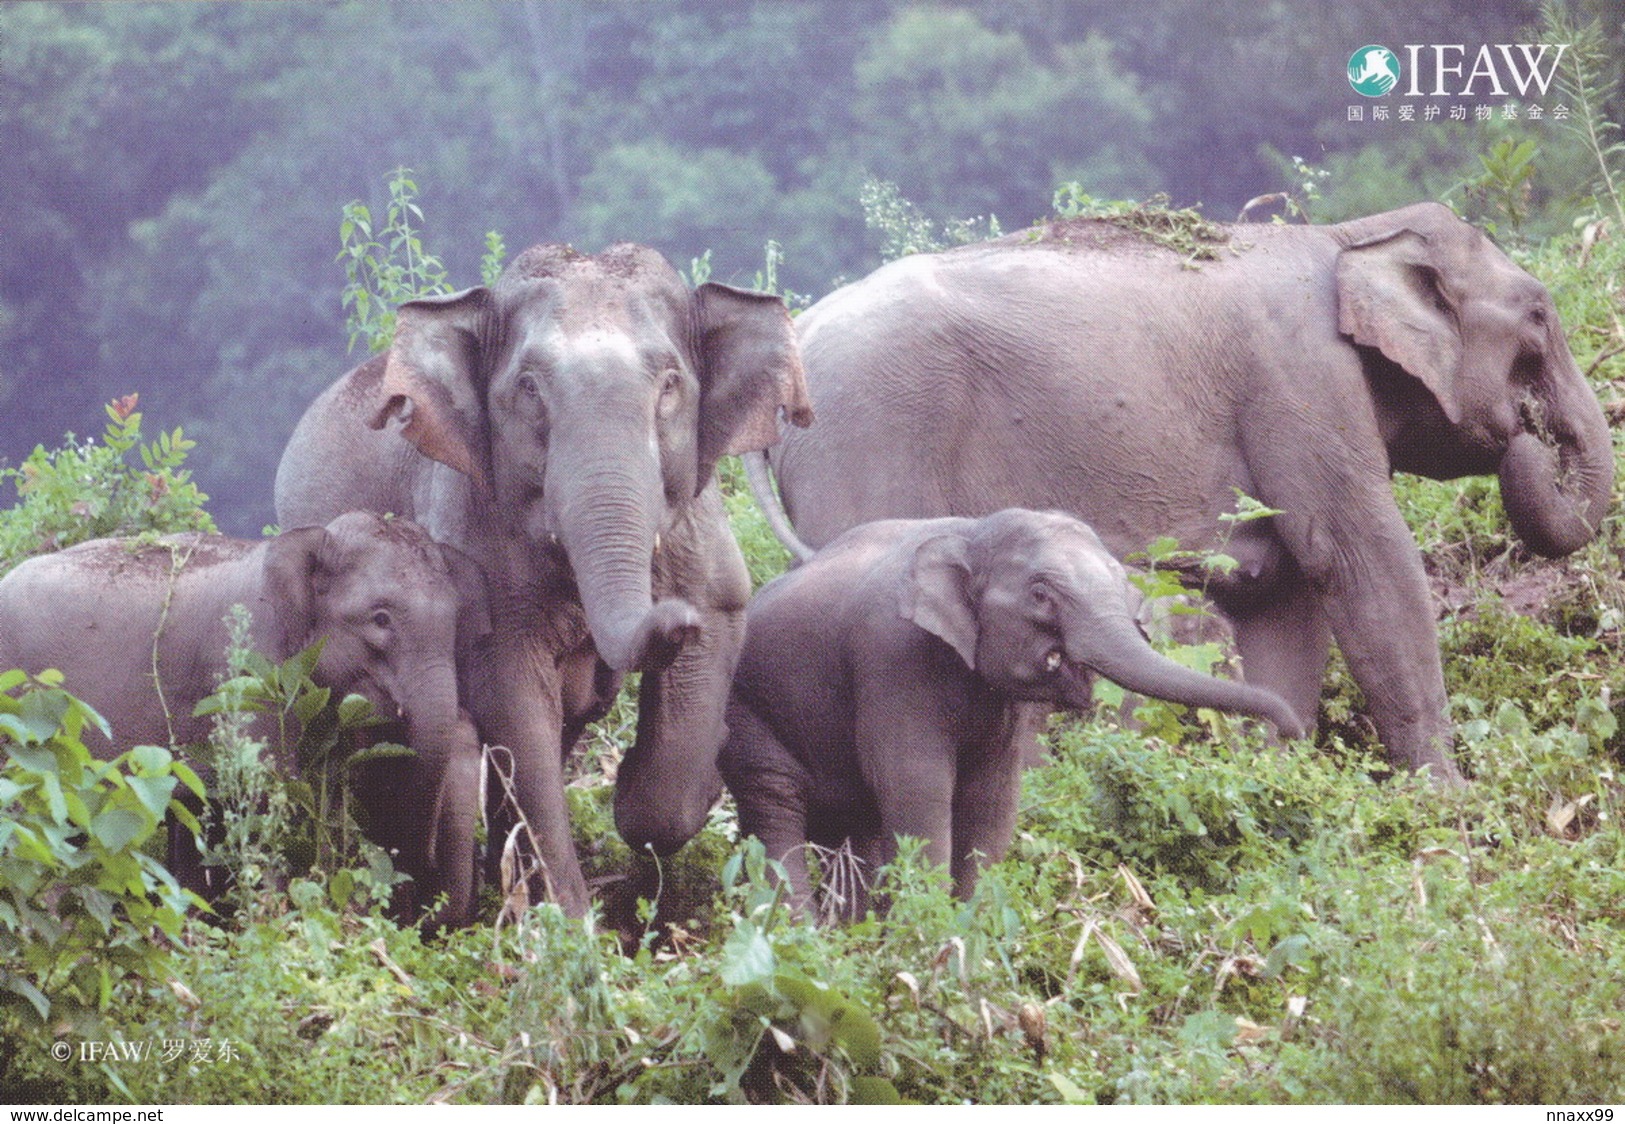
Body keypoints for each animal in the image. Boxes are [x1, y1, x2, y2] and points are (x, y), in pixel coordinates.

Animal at [282, 242, 812, 916]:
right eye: (528, 388)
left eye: (670, 384)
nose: (670, 617)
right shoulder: (475, 519)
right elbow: (517, 713)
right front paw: (571, 924)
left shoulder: (701, 525)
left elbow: (715, 620)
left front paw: (664, 778)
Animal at [718, 503, 1300, 916]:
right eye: (1040, 593)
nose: (1294, 730)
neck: (972, 530)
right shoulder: (890, 657)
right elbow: (917, 785)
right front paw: (930, 933)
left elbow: (994, 794)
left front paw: (966, 924)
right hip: (744, 714)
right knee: (774, 810)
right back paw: (802, 937)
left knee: (851, 825)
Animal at [754, 202, 1618, 782]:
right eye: (1538, 315)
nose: (1527, 433)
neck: (1347, 236)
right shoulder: (1301, 386)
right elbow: (1359, 562)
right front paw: (1442, 805)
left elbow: (1284, 604)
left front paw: (1276, 783)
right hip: (868, 444)